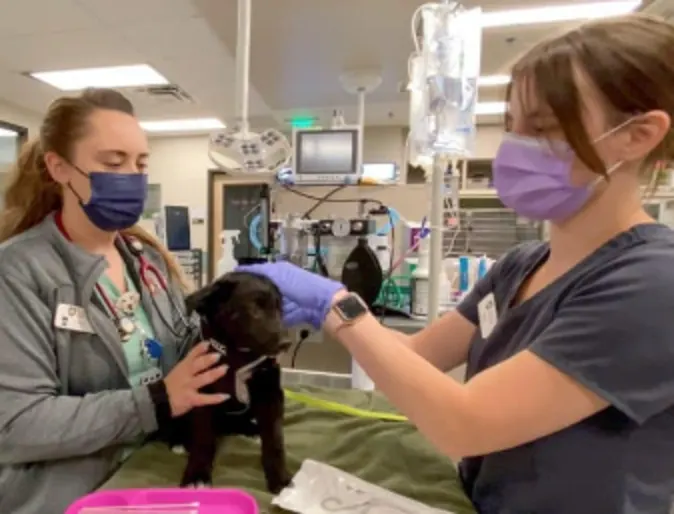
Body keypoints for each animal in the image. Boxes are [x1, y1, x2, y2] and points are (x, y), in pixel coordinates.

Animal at [165, 270, 292, 490]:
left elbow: (275, 441)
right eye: (254, 308)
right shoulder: (201, 394)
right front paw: (196, 475)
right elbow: (203, 439)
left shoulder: (271, 395)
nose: (287, 343)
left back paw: (251, 430)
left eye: (279, 308)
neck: (237, 356)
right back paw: (179, 441)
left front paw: (280, 479)